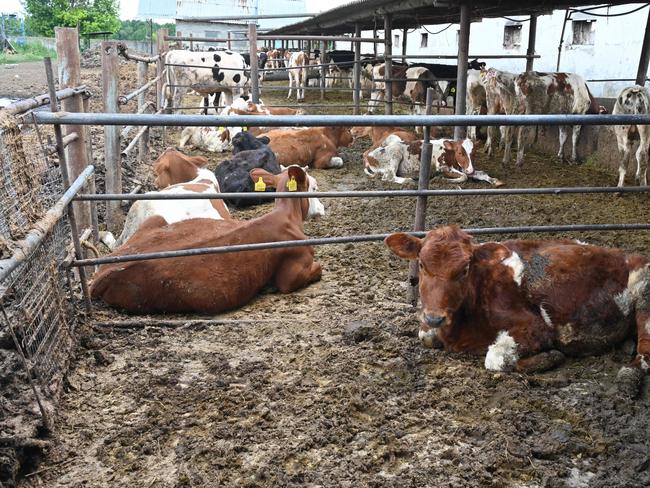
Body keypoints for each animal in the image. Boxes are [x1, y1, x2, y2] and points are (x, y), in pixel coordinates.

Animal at [90, 166, 322, 314]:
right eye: (314, 187)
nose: (322, 208)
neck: (286, 217)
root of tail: (103, 272)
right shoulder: (291, 274)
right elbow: (316, 270)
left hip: (155, 221)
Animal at [364, 134, 502, 186]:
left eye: (473, 153)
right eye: (460, 152)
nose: (470, 169)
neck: (449, 153)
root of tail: (369, 155)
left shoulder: (464, 167)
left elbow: (480, 173)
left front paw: (494, 180)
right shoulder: (442, 167)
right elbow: (464, 177)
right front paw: (441, 179)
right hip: (395, 154)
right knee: (388, 177)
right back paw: (409, 180)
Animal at [382, 225, 648, 396]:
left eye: (465, 269)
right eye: (422, 264)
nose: (434, 317)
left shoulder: (537, 328)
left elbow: (495, 359)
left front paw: (552, 357)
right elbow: (426, 336)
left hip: (645, 290)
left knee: (645, 353)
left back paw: (628, 377)